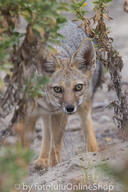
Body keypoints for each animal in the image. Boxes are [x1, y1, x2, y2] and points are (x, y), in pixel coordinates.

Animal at [15, 20, 101, 168]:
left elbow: (55, 147)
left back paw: (93, 152)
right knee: (46, 131)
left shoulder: (59, 114)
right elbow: (23, 149)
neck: (46, 101)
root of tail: (69, 22)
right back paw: (42, 159)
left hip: (82, 107)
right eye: (57, 89)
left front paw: (54, 166)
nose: (70, 108)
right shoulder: (27, 115)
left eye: (78, 87)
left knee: (87, 127)